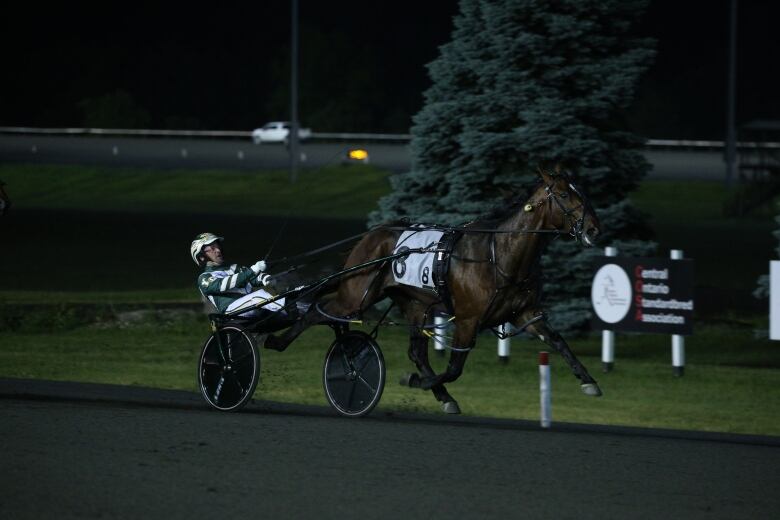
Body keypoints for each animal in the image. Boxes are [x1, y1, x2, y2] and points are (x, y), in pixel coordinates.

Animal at [268, 169, 604, 412]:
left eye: (584, 193)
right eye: (564, 194)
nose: (593, 229)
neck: (499, 255)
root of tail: (372, 234)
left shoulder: (525, 313)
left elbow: (558, 341)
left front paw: (589, 381)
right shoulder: (468, 319)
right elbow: (455, 368)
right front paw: (415, 381)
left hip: (414, 303)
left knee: (415, 351)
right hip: (356, 294)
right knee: (316, 310)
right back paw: (277, 340)